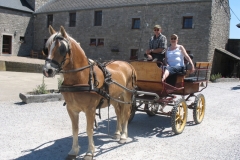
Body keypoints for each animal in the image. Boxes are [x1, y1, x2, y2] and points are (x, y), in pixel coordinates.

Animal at [42, 25, 137, 159]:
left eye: (62, 49)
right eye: (46, 48)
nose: (47, 70)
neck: (81, 78)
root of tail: (128, 64)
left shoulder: (90, 110)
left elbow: (89, 129)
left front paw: (90, 152)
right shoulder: (71, 109)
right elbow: (75, 129)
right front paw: (74, 150)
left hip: (127, 95)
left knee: (126, 113)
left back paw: (123, 136)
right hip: (114, 97)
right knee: (119, 113)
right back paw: (117, 133)